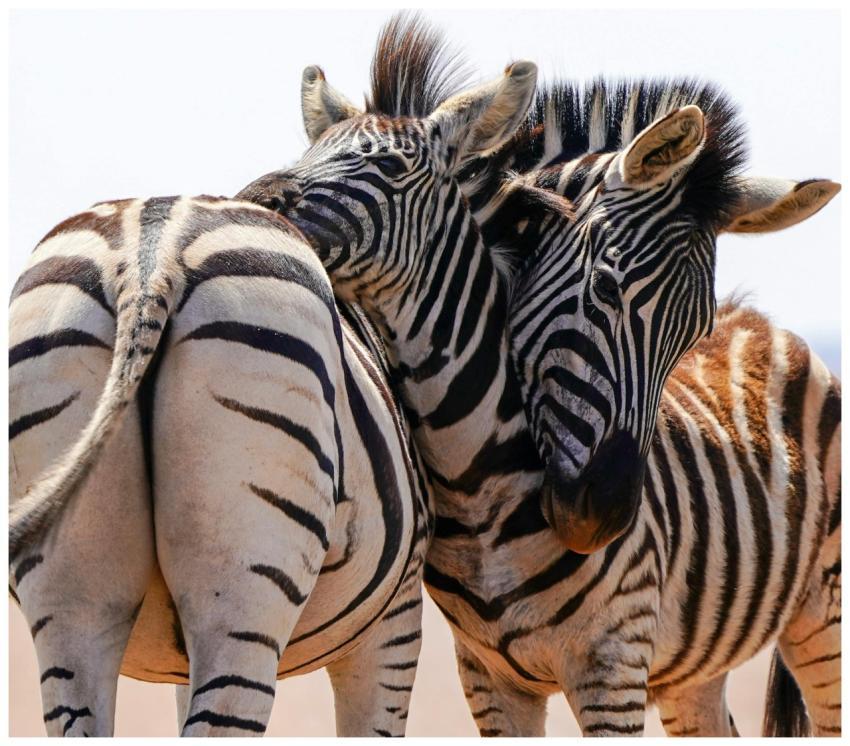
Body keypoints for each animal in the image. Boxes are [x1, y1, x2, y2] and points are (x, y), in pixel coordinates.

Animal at [236, 15, 840, 736]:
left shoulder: (614, 663)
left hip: (824, 616)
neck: (475, 488)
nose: (604, 516)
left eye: (691, 335)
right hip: (695, 672)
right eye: (604, 288)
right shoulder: (487, 676)